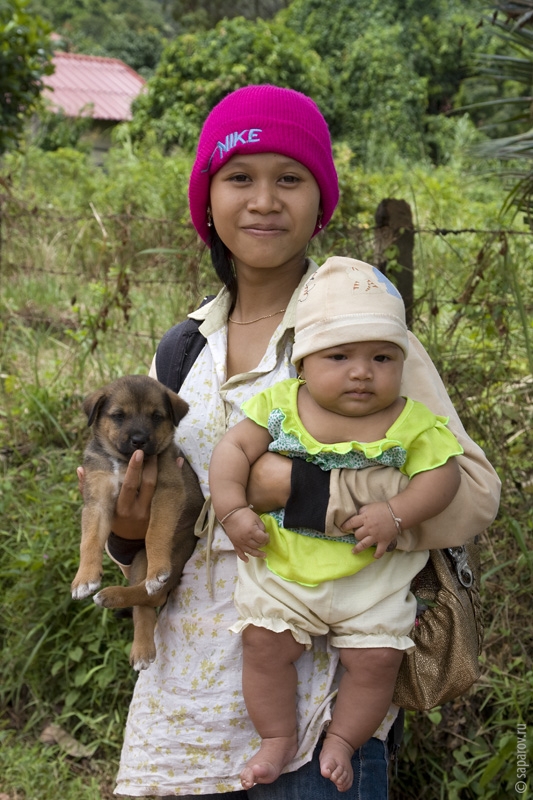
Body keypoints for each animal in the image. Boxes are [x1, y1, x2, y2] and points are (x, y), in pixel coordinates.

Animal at [70, 376, 204, 668]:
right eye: (119, 415)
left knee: (151, 593)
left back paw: (115, 595)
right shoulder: (97, 500)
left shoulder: (167, 490)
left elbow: (155, 532)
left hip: (166, 552)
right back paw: (140, 646)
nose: (139, 440)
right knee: (145, 604)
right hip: (138, 558)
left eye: (156, 416)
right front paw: (84, 579)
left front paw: (158, 569)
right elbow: (89, 541)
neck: (125, 463)